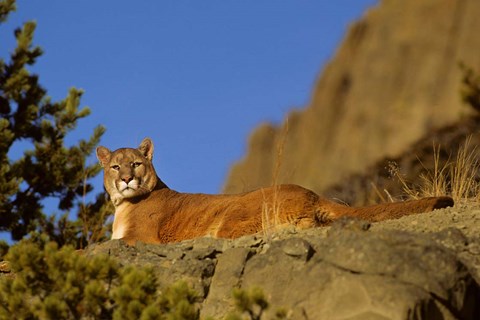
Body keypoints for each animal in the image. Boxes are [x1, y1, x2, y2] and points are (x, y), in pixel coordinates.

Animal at [96, 138, 454, 245]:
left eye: (135, 164)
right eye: (115, 167)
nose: (126, 179)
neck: (123, 205)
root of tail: (312, 192)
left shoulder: (141, 238)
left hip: (233, 218)